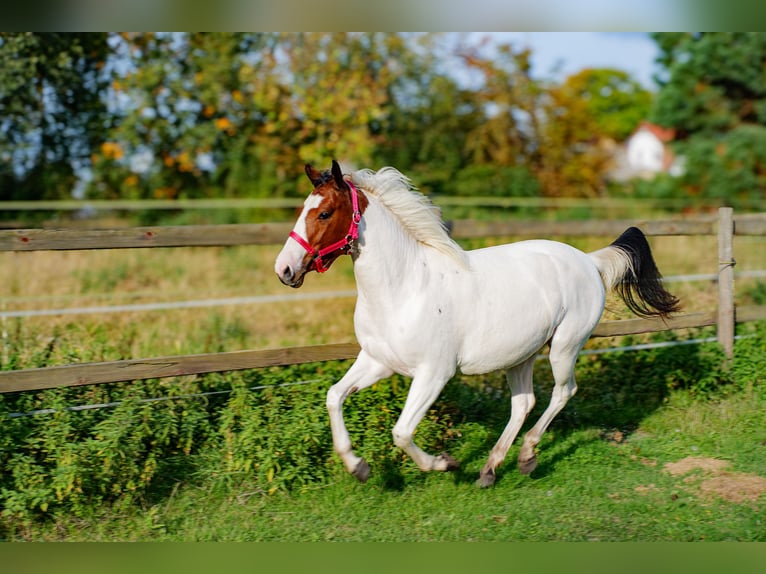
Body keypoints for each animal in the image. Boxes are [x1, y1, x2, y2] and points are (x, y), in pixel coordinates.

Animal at [274, 160, 680, 487]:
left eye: (325, 213)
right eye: (303, 209)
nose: (285, 270)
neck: (404, 288)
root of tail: (590, 260)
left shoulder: (434, 373)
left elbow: (402, 432)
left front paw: (445, 464)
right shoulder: (378, 362)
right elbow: (334, 396)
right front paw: (358, 466)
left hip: (564, 347)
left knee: (563, 393)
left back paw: (526, 458)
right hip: (521, 354)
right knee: (524, 403)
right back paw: (490, 470)